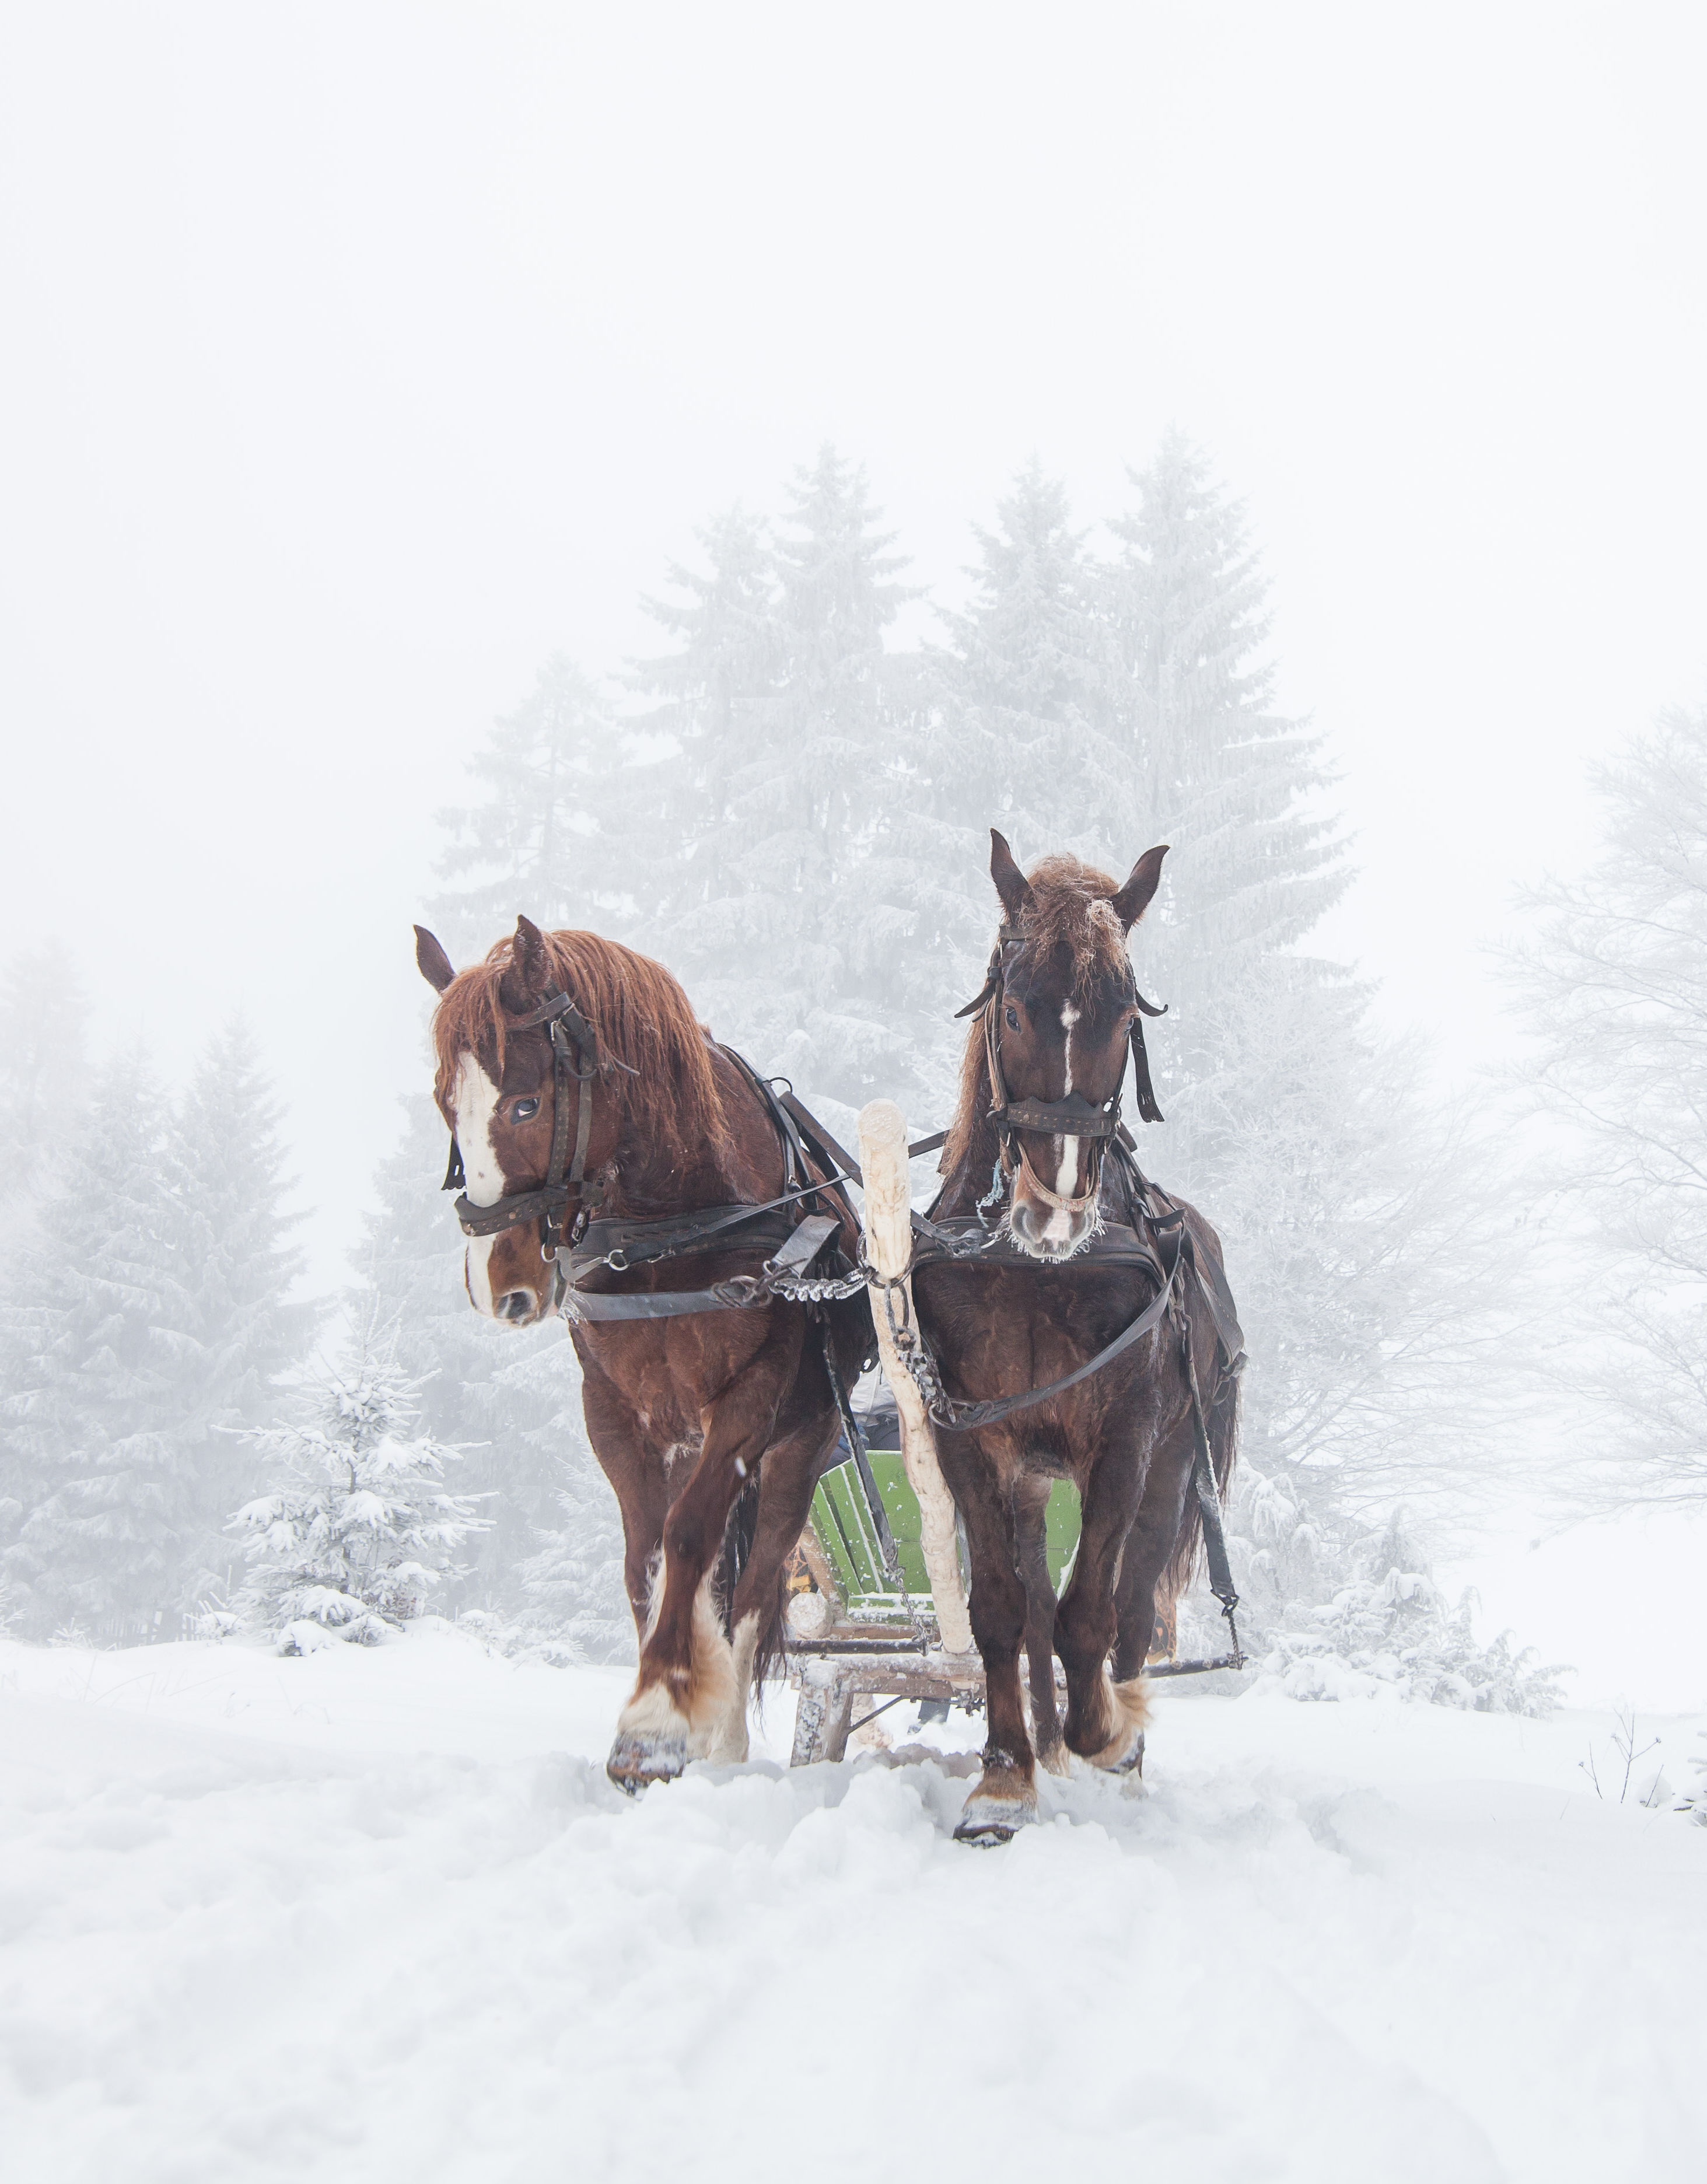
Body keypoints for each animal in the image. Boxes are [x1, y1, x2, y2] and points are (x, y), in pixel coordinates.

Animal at [413, 914, 871, 1790]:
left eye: (527, 1102)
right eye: (443, 1100)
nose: (495, 1284)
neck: (671, 1228)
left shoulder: (750, 1398)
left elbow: (689, 1537)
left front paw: (655, 1722)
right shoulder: (616, 1410)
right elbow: (646, 1559)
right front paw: (664, 1700)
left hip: (798, 1450)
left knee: (756, 1581)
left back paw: (722, 1738)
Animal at [910, 831, 1241, 1844]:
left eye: (1122, 1015)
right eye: (1014, 1008)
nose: (1054, 1210)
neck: (1032, 1270)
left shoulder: (1126, 1437)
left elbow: (1088, 1614)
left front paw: (1107, 1730)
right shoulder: (972, 1438)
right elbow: (999, 1614)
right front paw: (1003, 1780)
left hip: (1174, 1464)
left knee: (1130, 1608)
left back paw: (1114, 1742)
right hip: (1029, 1477)